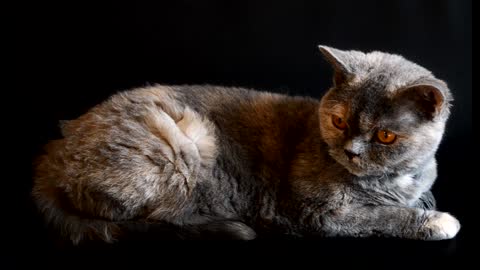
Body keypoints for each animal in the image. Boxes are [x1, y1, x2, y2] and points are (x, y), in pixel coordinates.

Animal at [31, 45, 460, 244]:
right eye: (339, 121)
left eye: (385, 135)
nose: (351, 151)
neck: (394, 179)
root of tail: (54, 152)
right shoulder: (320, 213)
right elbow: (384, 216)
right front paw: (438, 221)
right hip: (185, 144)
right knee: (152, 217)